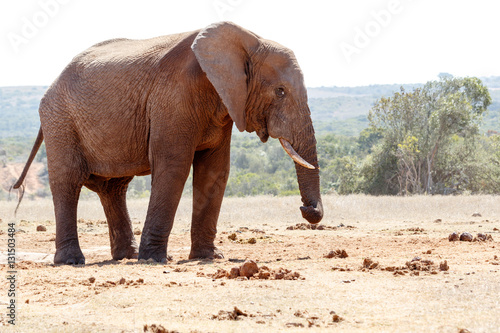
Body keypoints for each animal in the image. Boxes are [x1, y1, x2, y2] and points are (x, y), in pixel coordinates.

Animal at [13, 21, 324, 264]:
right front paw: (154, 260)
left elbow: (215, 171)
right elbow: (174, 166)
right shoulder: (173, 97)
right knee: (68, 181)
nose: (307, 210)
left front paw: (209, 257)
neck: (249, 40)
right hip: (60, 121)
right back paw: (73, 261)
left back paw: (126, 256)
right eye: (280, 91)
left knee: (113, 189)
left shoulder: (224, 104)